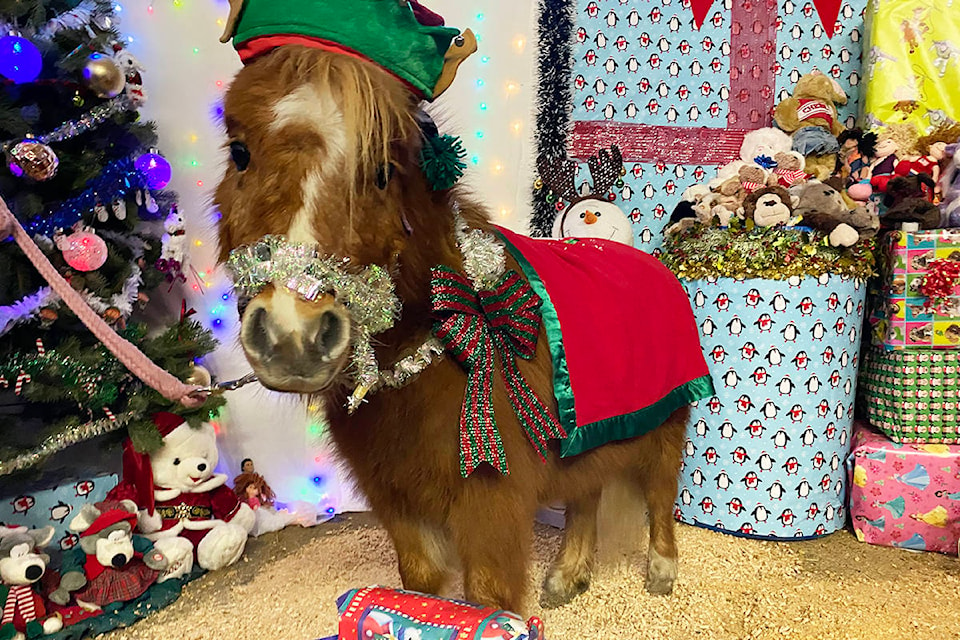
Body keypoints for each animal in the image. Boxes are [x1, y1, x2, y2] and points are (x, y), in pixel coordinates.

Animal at [214, 47, 688, 612]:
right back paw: (566, 576)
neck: (426, 358)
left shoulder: (489, 507)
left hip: (665, 427)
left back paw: (661, 571)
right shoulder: (397, 502)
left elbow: (488, 597)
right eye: (240, 152)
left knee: (660, 492)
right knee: (586, 495)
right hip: (588, 437)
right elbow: (420, 582)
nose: (293, 337)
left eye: (383, 170)